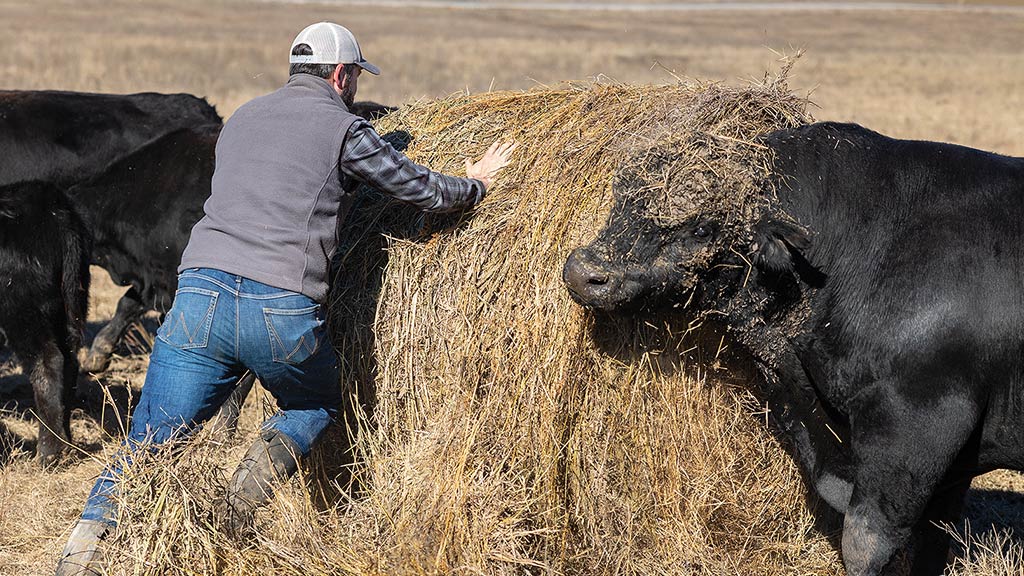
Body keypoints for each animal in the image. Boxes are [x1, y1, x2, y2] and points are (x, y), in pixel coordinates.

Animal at [0, 181, 90, 463]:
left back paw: (49, 454)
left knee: (48, 363)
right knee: (70, 362)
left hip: (22, 312)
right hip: (70, 304)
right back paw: (66, 444)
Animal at [565, 118, 1024, 569]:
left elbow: (865, 544)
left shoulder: (917, 423)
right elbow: (933, 539)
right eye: (622, 193)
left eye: (701, 229)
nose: (583, 272)